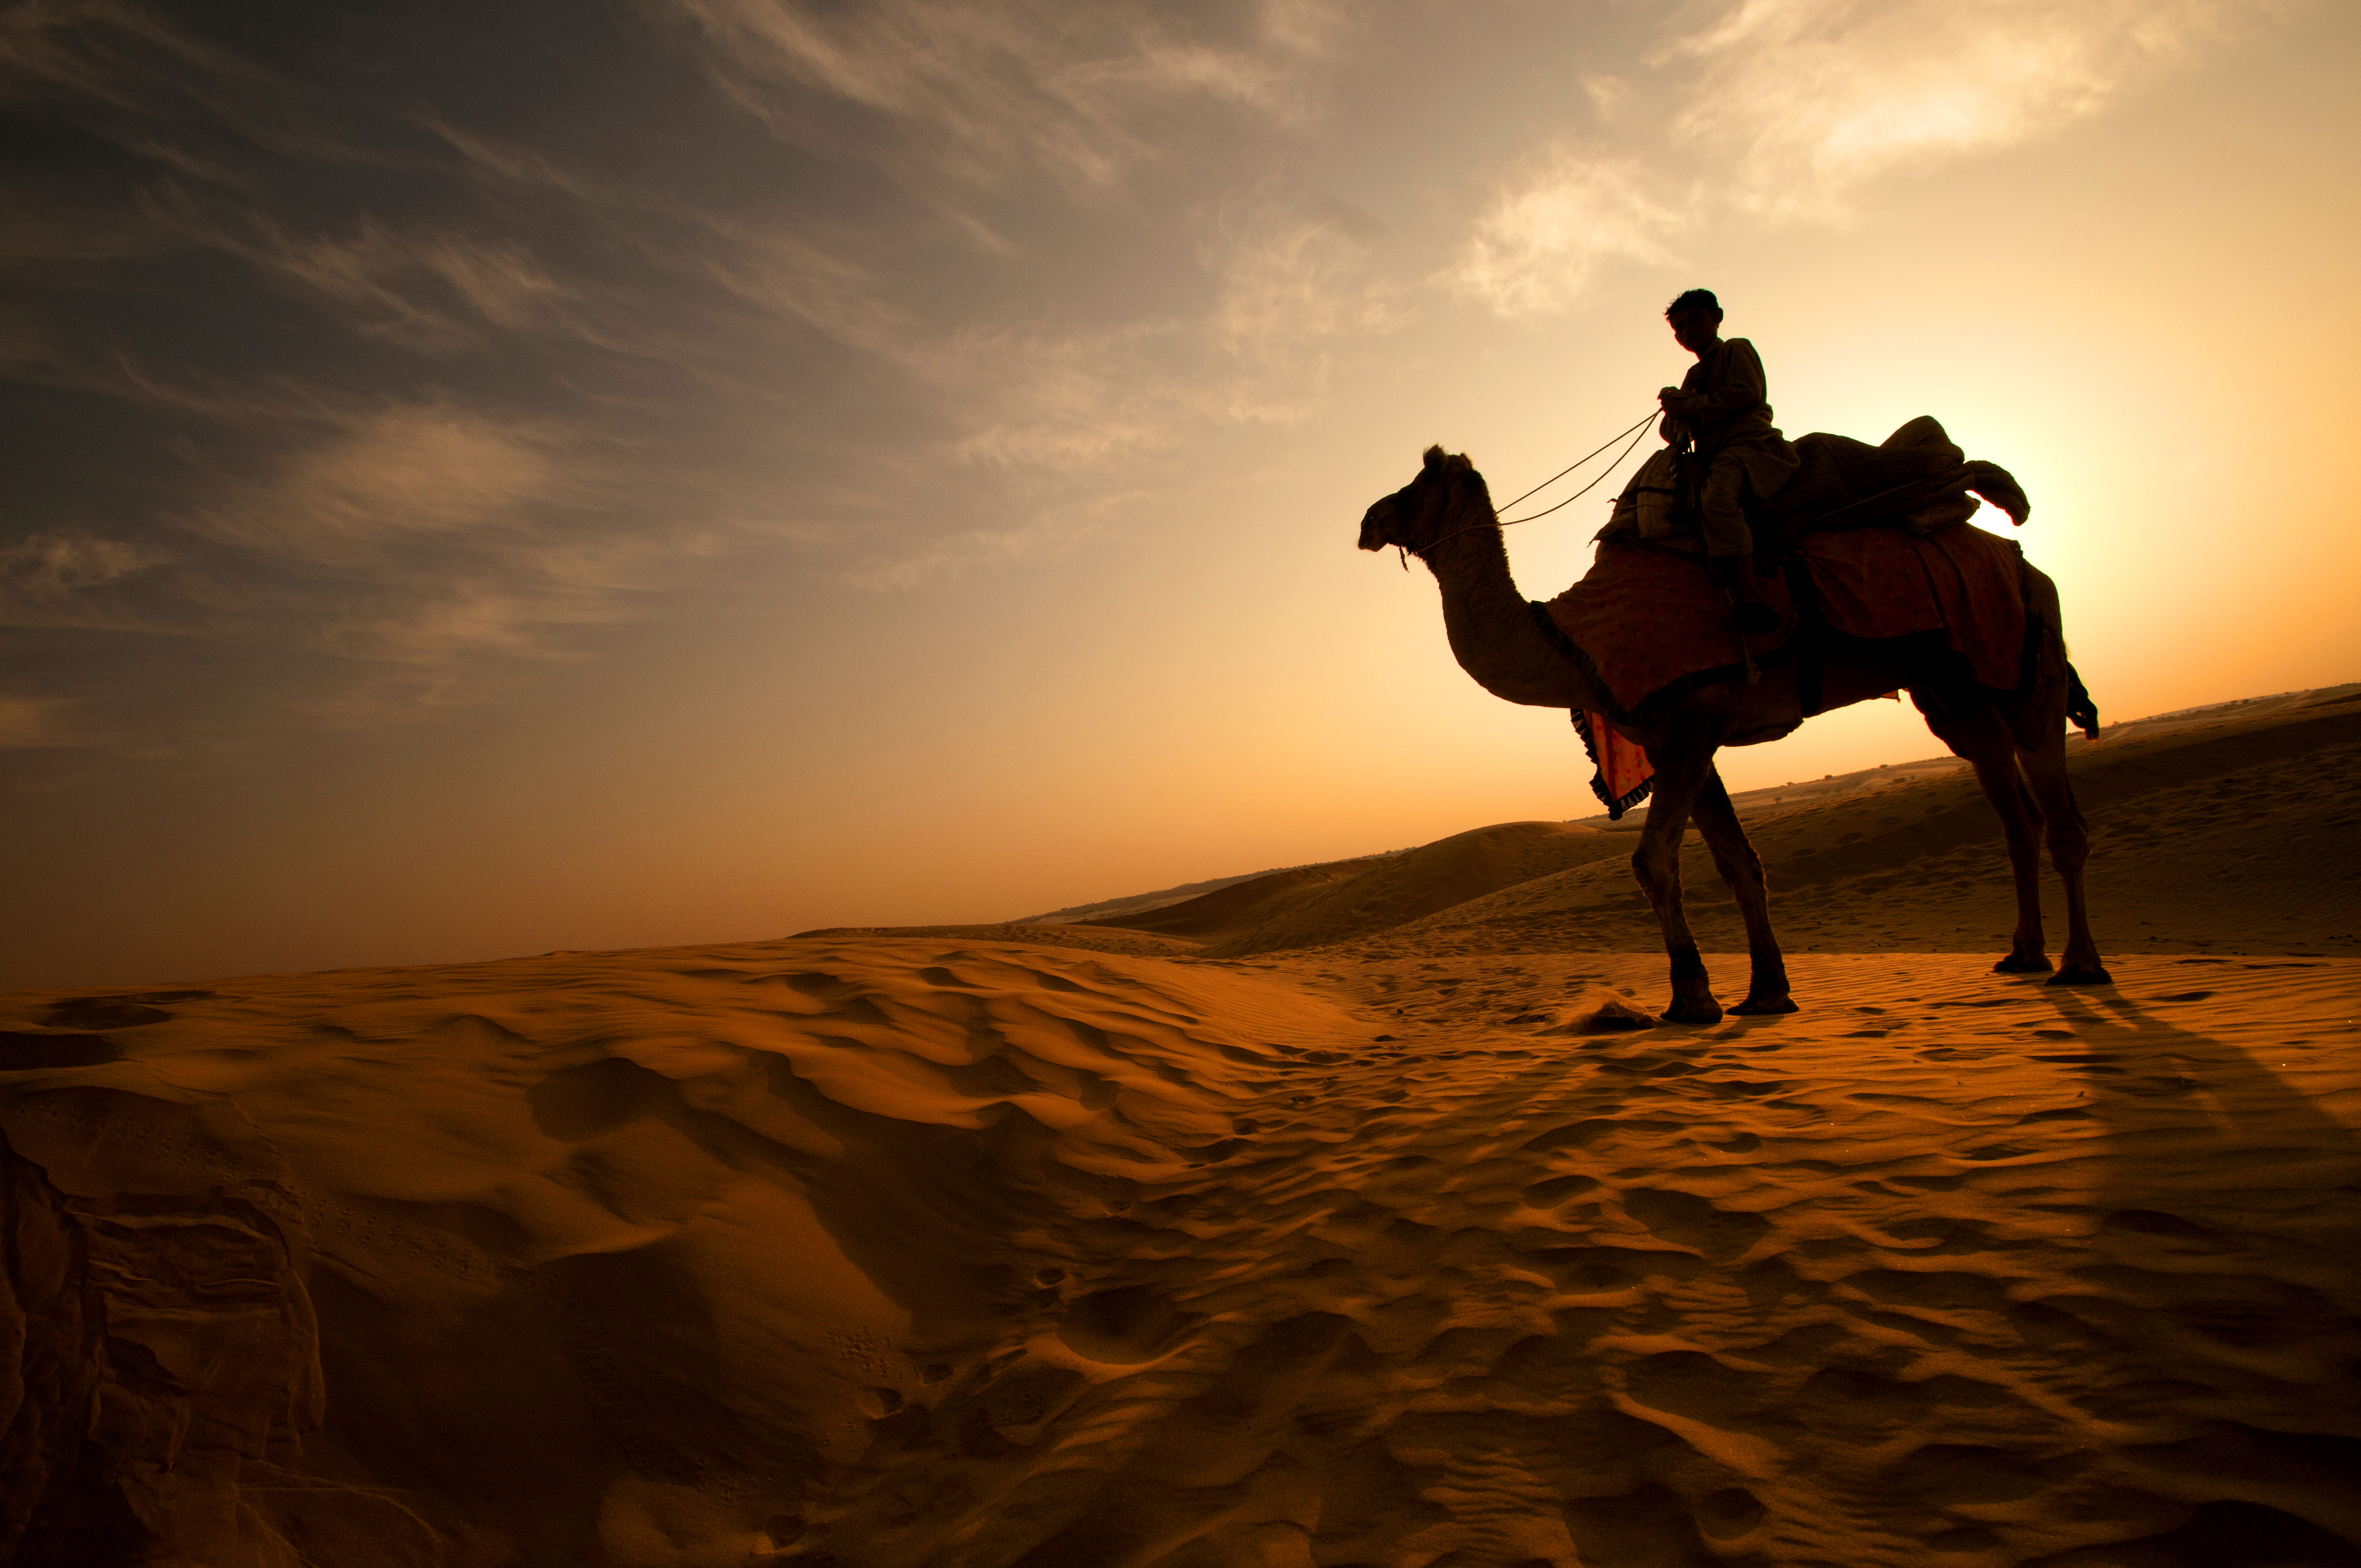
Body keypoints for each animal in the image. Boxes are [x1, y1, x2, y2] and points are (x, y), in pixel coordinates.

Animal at [1359, 444, 2115, 1030]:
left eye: (1418, 482)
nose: (1368, 519)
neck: (1575, 643)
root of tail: (2025, 562)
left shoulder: (1693, 718)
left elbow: (1653, 860)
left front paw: (1693, 999)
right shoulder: (1676, 737)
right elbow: (1737, 862)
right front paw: (1766, 992)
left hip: (2023, 656)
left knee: (2061, 817)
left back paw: (2080, 965)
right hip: (1954, 689)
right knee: (2014, 814)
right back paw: (2024, 953)